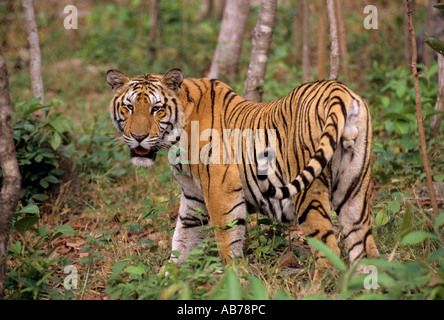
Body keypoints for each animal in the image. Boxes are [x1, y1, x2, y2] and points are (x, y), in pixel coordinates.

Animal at [106, 68, 380, 278]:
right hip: (354, 189)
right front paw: (165, 278)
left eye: (156, 109)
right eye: (129, 107)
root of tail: (337, 90)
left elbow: (227, 238)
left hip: (309, 194)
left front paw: (235, 278)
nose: (138, 137)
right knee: (365, 248)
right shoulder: (193, 197)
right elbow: (183, 239)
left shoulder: (221, 191)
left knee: (329, 249)